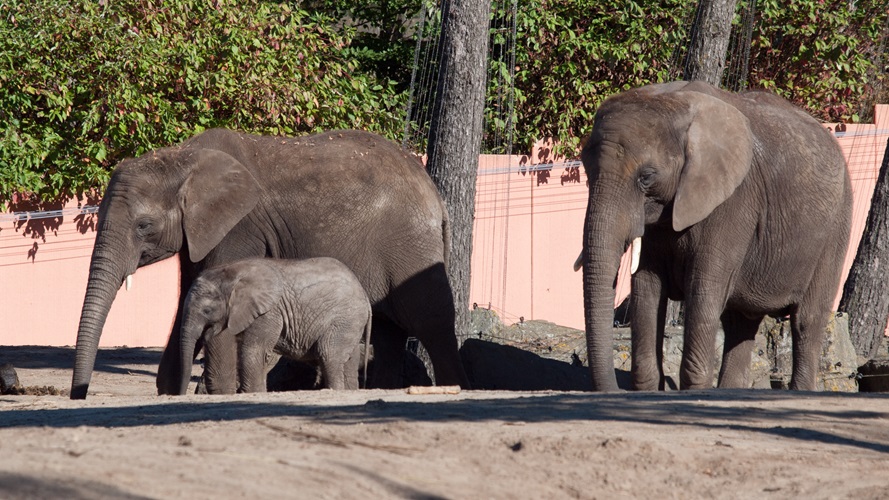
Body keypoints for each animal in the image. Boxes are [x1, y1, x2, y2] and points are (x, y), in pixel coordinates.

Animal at [177, 258, 372, 394]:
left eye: (207, 310)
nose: (180, 394)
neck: (231, 273)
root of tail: (364, 294)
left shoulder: (268, 312)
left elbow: (254, 350)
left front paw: (252, 393)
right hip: (350, 322)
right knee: (348, 360)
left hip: (345, 317)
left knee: (329, 354)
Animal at [580, 82, 848, 392]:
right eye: (586, 170)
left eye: (646, 176)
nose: (611, 390)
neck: (672, 103)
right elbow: (648, 287)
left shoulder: (734, 202)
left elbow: (703, 288)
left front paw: (693, 391)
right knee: (740, 321)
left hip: (836, 226)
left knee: (807, 320)